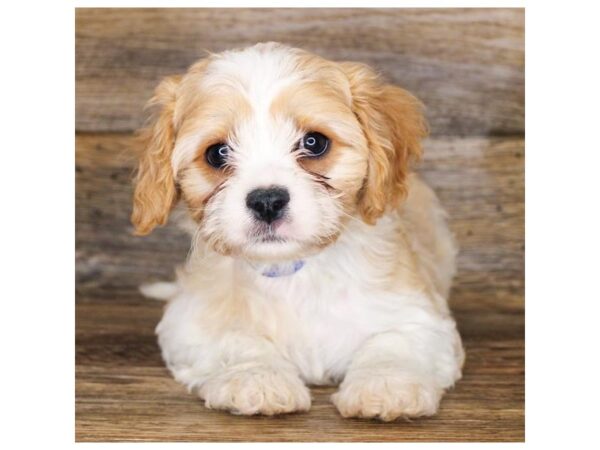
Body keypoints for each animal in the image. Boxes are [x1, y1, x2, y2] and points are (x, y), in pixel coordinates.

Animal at [134, 42, 466, 422]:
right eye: (217, 153)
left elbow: (394, 342)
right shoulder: (190, 322)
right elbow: (235, 341)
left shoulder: (420, 315)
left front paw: (385, 385)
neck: (294, 271)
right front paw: (257, 378)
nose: (267, 201)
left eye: (314, 142)